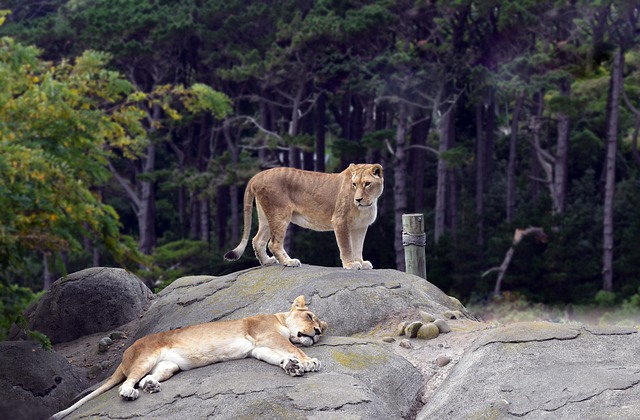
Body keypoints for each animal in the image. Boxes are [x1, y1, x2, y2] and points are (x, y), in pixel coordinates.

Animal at [50, 296, 327, 420]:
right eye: (310, 316)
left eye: (322, 328)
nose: (316, 332)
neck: (279, 319)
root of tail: (125, 353)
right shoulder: (267, 335)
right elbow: (293, 348)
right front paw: (308, 361)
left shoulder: (258, 347)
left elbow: (277, 357)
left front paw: (292, 367)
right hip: (147, 355)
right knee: (129, 381)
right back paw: (129, 392)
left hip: (169, 365)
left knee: (145, 378)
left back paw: (151, 386)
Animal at [224, 163, 384, 270]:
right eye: (354, 184)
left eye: (367, 184)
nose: (358, 199)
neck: (367, 205)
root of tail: (257, 176)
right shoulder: (340, 221)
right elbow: (346, 246)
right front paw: (350, 264)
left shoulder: (360, 226)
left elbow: (358, 246)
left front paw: (361, 262)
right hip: (280, 214)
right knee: (273, 243)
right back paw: (289, 262)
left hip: (266, 218)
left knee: (257, 240)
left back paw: (267, 262)